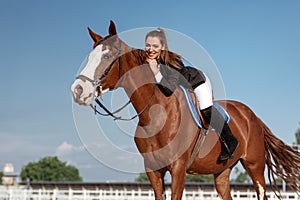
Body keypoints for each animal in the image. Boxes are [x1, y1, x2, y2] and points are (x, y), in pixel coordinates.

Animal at [71, 21, 298, 199]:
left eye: (107, 56)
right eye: (89, 57)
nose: (77, 90)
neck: (156, 114)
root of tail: (252, 116)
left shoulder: (178, 169)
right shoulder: (153, 170)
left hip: (254, 165)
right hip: (222, 172)